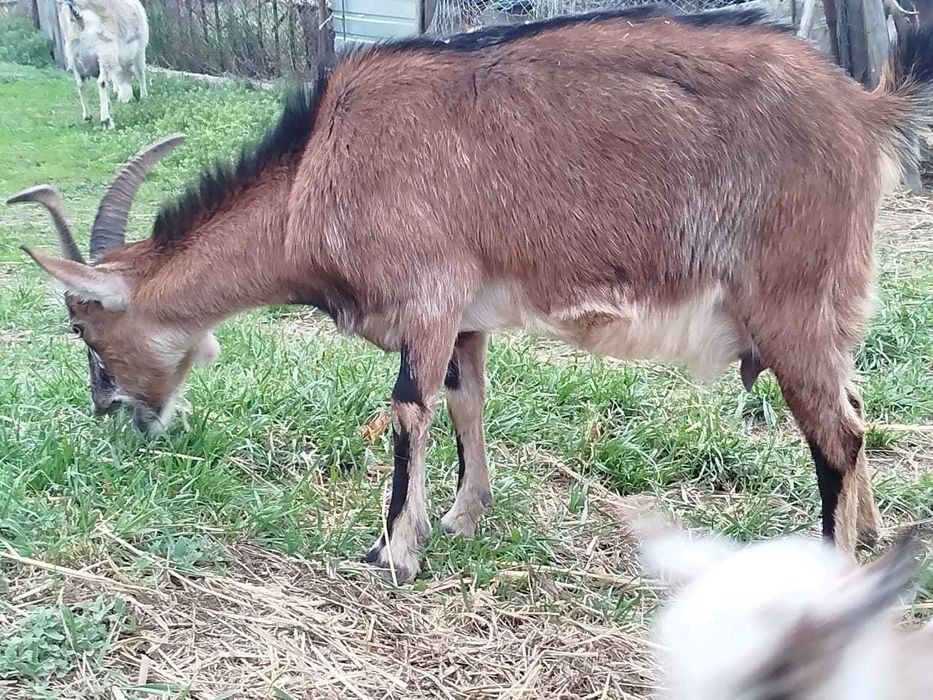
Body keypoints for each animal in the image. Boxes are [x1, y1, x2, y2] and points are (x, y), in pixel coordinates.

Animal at [58, 0, 150, 128]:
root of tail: (78, 17)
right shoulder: (139, 52)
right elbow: (140, 73)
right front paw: (143, 96)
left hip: (73, 59)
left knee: (81, 85)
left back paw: (88, 116)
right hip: (105, 53)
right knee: (102, 82)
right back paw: (106, 120)